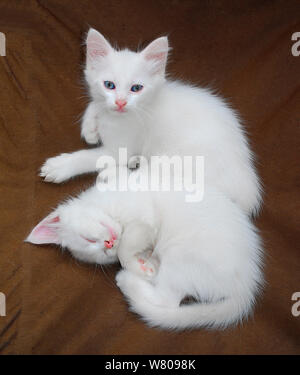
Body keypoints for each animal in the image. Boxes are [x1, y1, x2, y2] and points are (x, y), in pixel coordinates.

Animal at [27, 167, 264, 328]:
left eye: (88, 240)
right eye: (102, 254)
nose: (108, 244)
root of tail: (246, 286)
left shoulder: (144, 217)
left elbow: (126, 246)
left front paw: (137, 264)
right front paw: (141, 260)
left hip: (180, 255)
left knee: (168, 300)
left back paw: (128, 278)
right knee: (168, 299)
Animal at [40, 27, 262, 217]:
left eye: (136, 88)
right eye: (109, 85)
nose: (121, 102)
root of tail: (246, 190)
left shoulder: (121, 147)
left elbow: (92, 157)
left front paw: (61, 166)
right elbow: (95, 103)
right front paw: (90, 128)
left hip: (176, 162)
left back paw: (114, 171)